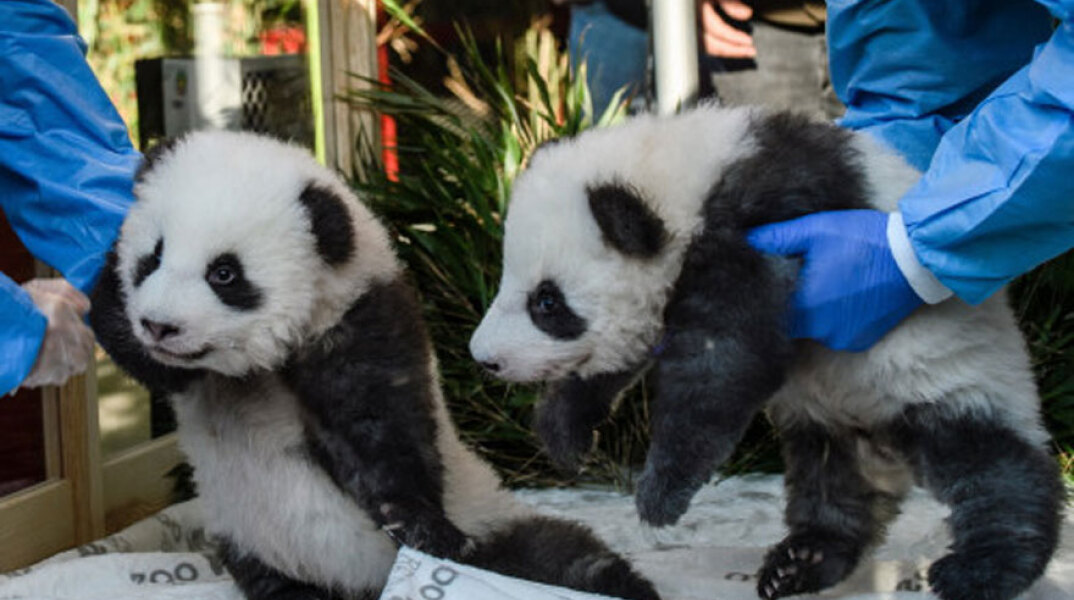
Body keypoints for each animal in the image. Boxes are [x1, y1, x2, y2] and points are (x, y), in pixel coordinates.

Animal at [89, 130, 660, 600]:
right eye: (152, 257)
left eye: (224, 273)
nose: (158, 325)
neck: (262, 366)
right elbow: (144, 355)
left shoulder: (362, 319)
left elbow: (380, 431)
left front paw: (418, 526)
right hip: (257, 542)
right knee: (277, 584)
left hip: (489, 516)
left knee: (558, 559)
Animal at [469, 104, 1065, 600]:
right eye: (507, 281)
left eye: (547, 302)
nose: (484, 358)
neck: (690, 177)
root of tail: (883, 442)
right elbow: (624, 358)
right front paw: (566, 431)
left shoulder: (768, 221)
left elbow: (724, 356)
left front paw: (661, 492)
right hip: (832, 420)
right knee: (833, 484)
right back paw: (803, 561)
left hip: (941, 370)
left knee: (989, 462)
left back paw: (986, 566)